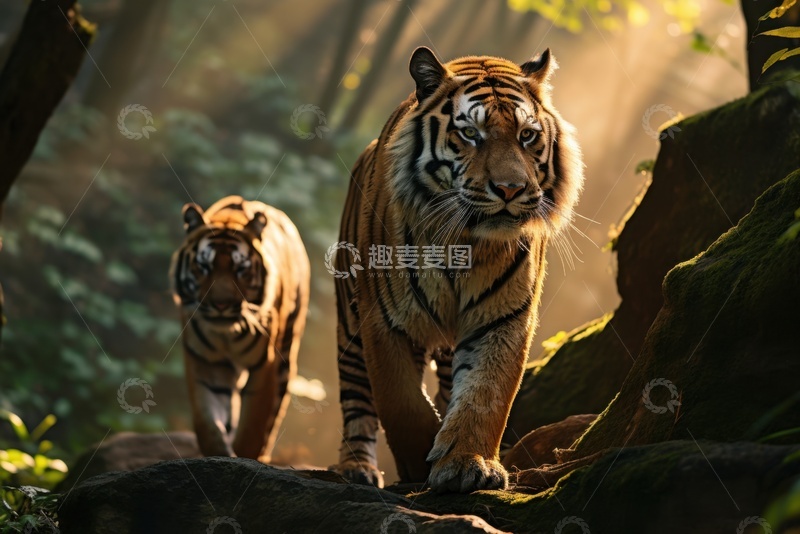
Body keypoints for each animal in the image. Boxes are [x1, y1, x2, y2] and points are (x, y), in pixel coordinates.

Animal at [170, 195, 309, 462]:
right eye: (204, 266)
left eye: (241, 269)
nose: (221, 304)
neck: (226, 336)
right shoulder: (206, 365)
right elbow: (207, 424)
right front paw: (219, 455)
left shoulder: (265, 365)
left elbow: (253, 427)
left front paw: (246, 459)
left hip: (286, 357)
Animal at [331, 47, 584, 492]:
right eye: (470, 134)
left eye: (527, 136)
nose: (511, 189)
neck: (466, 241)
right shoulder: (384, 321)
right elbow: (400, 402)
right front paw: (418, 462)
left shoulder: (503, 317)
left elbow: (485, 392)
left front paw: (468, 462)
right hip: (350, 324)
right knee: (357, 400)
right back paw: (356, 468)